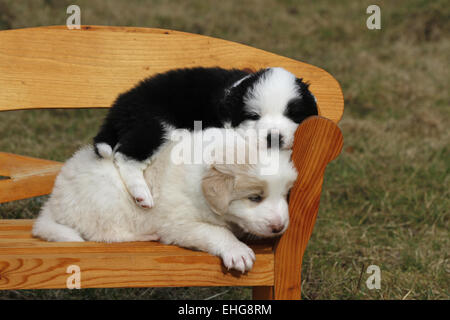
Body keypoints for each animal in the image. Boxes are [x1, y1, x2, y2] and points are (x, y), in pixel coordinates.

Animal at [32, 129, 298, 272]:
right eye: (255, 197)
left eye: (285, 194)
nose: (279, 227)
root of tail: (52, 204)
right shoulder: (179, 224)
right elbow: (216, 232)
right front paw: (238, 250)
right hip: (106, 199)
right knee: (105, 234)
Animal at [93, 67, 318, 208]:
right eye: (254, 116)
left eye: (293, 115)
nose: (274, 138)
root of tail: (121, 105)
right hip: (155, 125)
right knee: (125, 156)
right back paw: (141, 193)